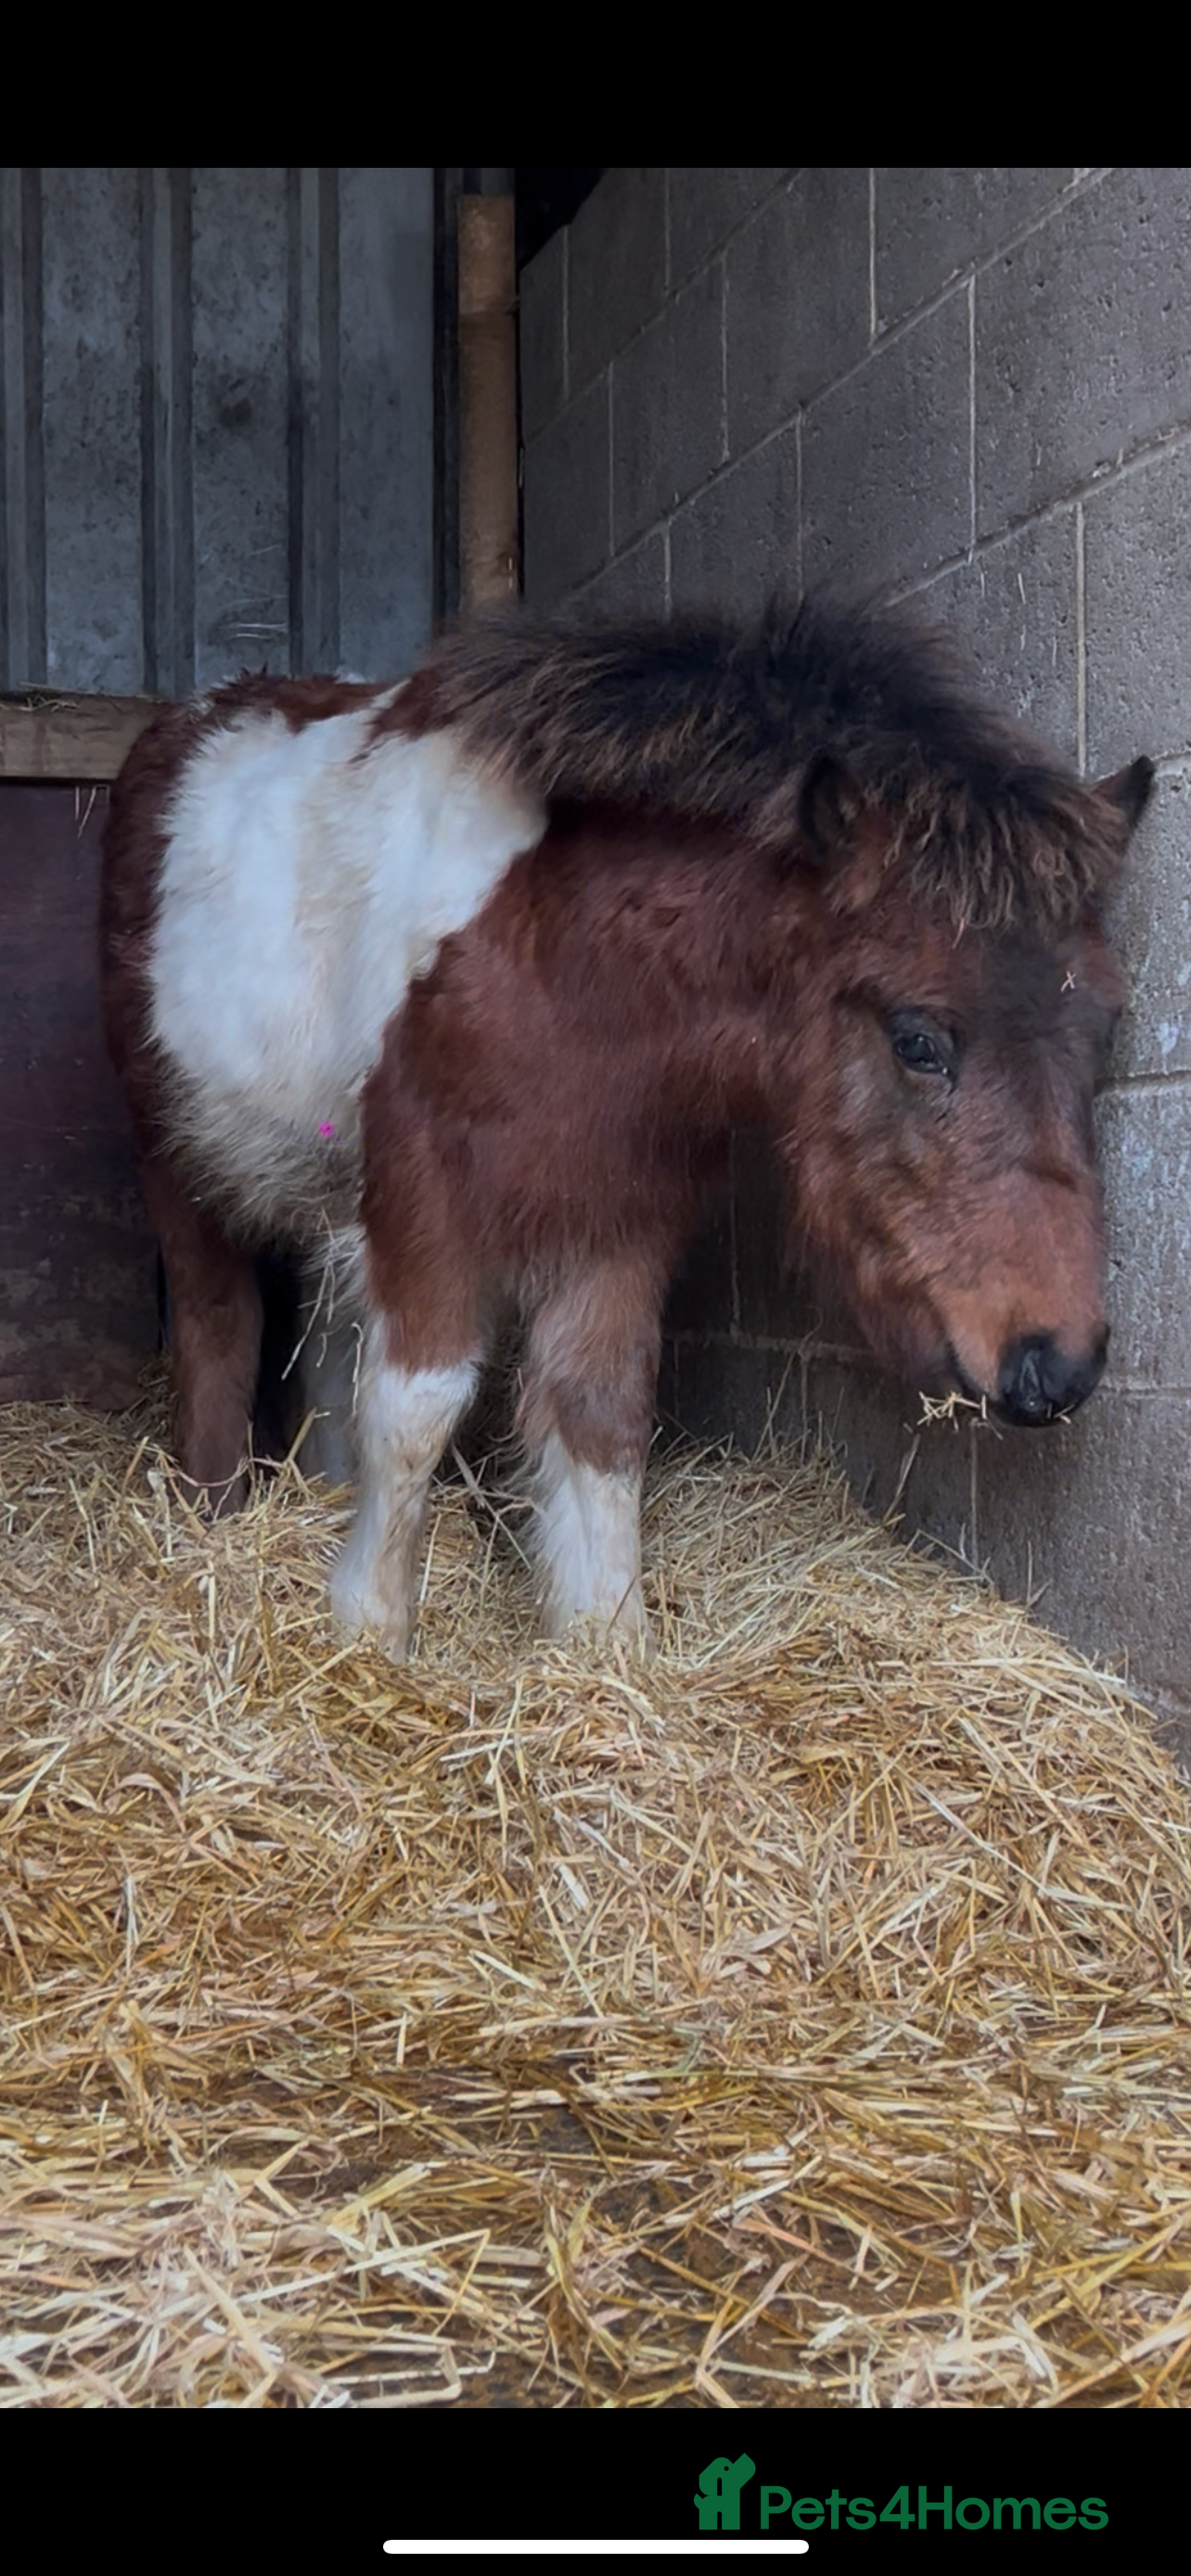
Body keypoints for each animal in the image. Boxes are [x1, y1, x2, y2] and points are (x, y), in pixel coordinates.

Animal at [99, 596, 1153, 1659]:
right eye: (917, 1039)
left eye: (1105, 1026)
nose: (1057, 1364)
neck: (556, 951)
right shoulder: (423, 1209)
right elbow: (416, 1410)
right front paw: (370, 1635)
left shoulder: (619, 1223)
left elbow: (602, 1413)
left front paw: (607, 1650)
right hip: (173, 1159)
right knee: (218, 1327)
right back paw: (212, 1516)